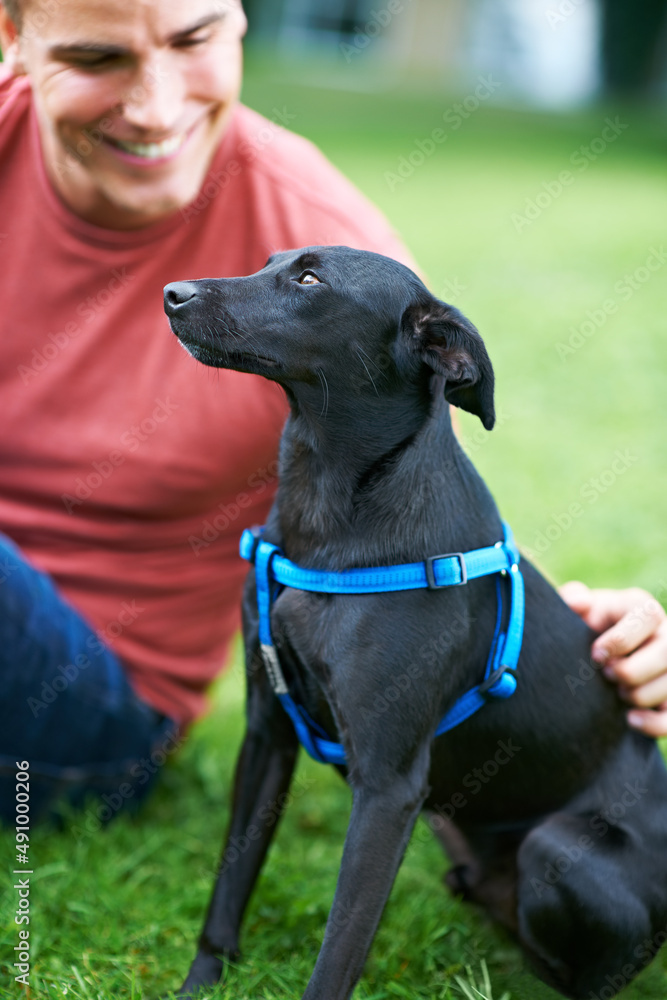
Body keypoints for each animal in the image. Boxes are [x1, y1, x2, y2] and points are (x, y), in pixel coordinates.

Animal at [163, 248, 667, 1000]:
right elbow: (229, 886)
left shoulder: (388, 789)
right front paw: (202, 983)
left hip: (557, 850)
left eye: (309, 279)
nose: (171, 293)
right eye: (270, 261)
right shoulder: (267, 734)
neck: (328, 511)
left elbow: (339, 951)